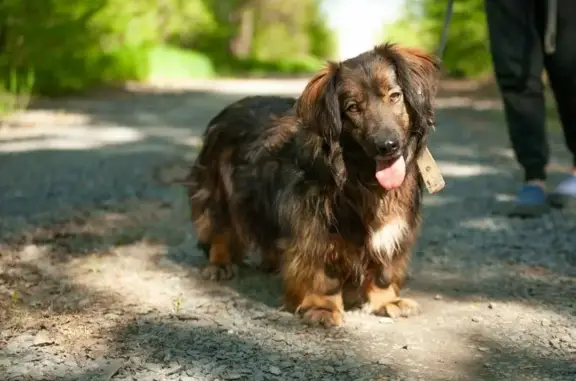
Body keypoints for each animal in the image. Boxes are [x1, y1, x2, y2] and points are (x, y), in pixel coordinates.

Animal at [187, 43, 438, 326]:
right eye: (353, 107)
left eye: (394, 96)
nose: (387, 145)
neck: (358, 175)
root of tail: (230, 108)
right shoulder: (312, 224)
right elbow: (322, 272)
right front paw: (323, 307)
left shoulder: (395, 228)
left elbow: (384, 268)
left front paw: (387, 300)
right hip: (218, 191)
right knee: (219, 228)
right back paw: (219, 263)